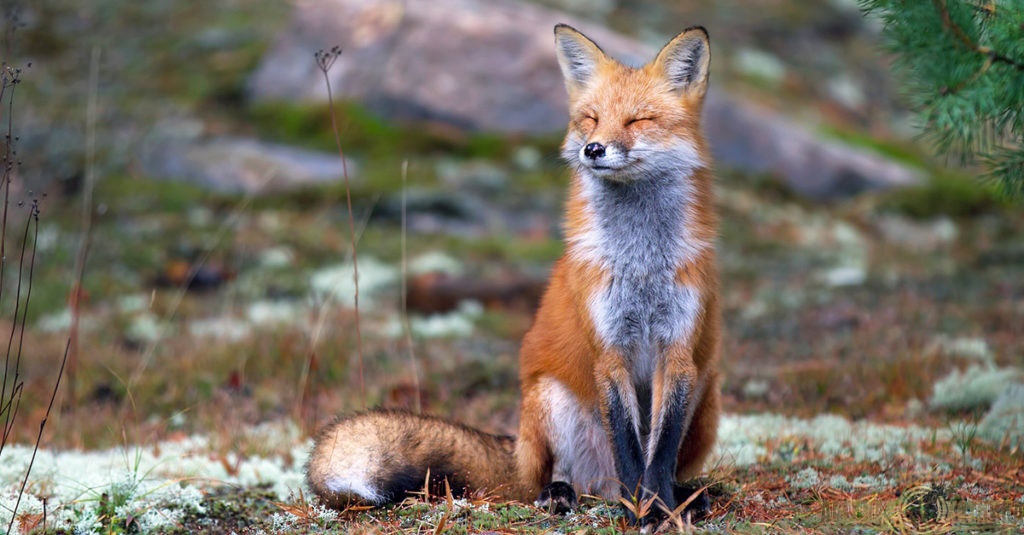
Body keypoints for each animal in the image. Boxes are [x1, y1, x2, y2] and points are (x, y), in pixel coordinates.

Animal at [306, 23, 720, 527]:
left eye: (637, 120)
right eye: (591, 119)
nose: (593, 149)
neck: (639, 262)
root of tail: (518, 450)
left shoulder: (677, 351)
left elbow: (657, 453)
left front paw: (660, 507)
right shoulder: (609, 349)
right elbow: (629, 446)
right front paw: (640, 510)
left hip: (705, 392)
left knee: (660, 465)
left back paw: (688, 495)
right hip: (549, 399)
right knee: (559, 477)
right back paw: (563, 495)